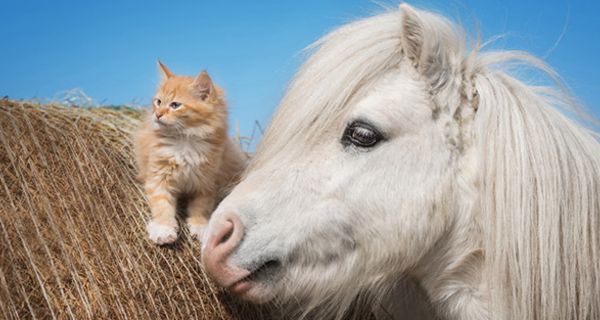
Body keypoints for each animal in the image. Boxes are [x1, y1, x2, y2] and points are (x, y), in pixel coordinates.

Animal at [135, 61, 246, 244]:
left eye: (175, 105)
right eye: (158, 102)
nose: (157, 114)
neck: (185, 141)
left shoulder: (206, 183)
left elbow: (201, 208)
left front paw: (200, 227)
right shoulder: (158, 178)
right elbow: (162, 206)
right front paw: (163, 229)